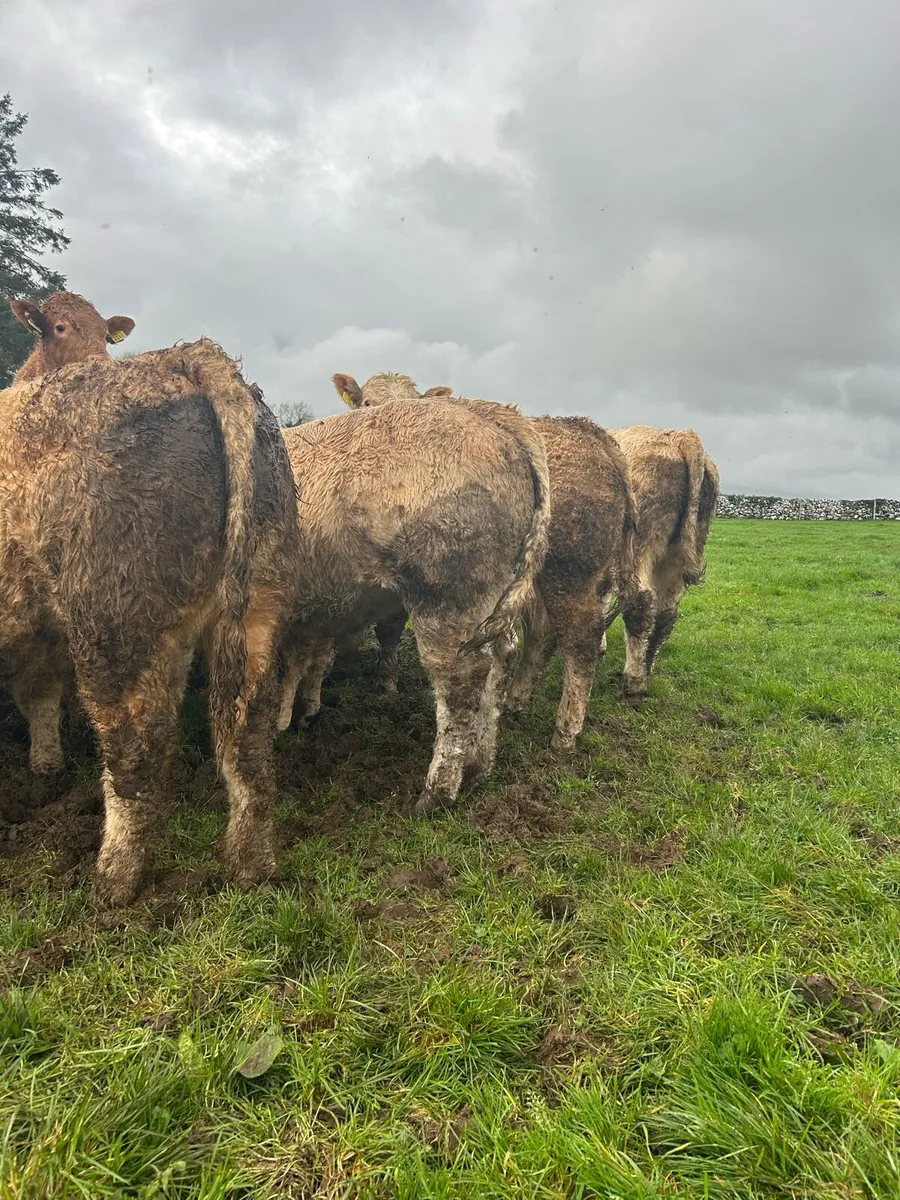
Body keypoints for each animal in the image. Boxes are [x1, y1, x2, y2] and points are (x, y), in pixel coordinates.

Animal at [2, 293, 300, 904]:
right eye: (59, 327)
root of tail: (184, 356)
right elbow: (39, 694)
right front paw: (45, 766)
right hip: (258, 600)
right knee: (249, 729)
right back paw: (251, 865)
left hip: (113, 624)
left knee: (137, 750)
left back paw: (115, 881)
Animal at [280, 385, 550, 814]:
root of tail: (490, 413)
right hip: (489, 601)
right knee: (500, 660)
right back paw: (479, 766)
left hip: (444, 598)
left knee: (461, 680)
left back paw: (437, 793)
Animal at [335, 375, 637, 748]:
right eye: (366, 403)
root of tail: (588, 430)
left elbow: (388, 629)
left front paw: (384, 683)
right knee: (543, 634)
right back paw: (515, 701)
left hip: (571, 576)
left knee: (581, 641)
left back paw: (565, 733)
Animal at [608, 425, 720, 705]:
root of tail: (679, 436)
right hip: (676, 557)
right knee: (666, 613)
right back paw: (646, 670)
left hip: (639, 548)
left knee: (641, 603)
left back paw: (634, 684)